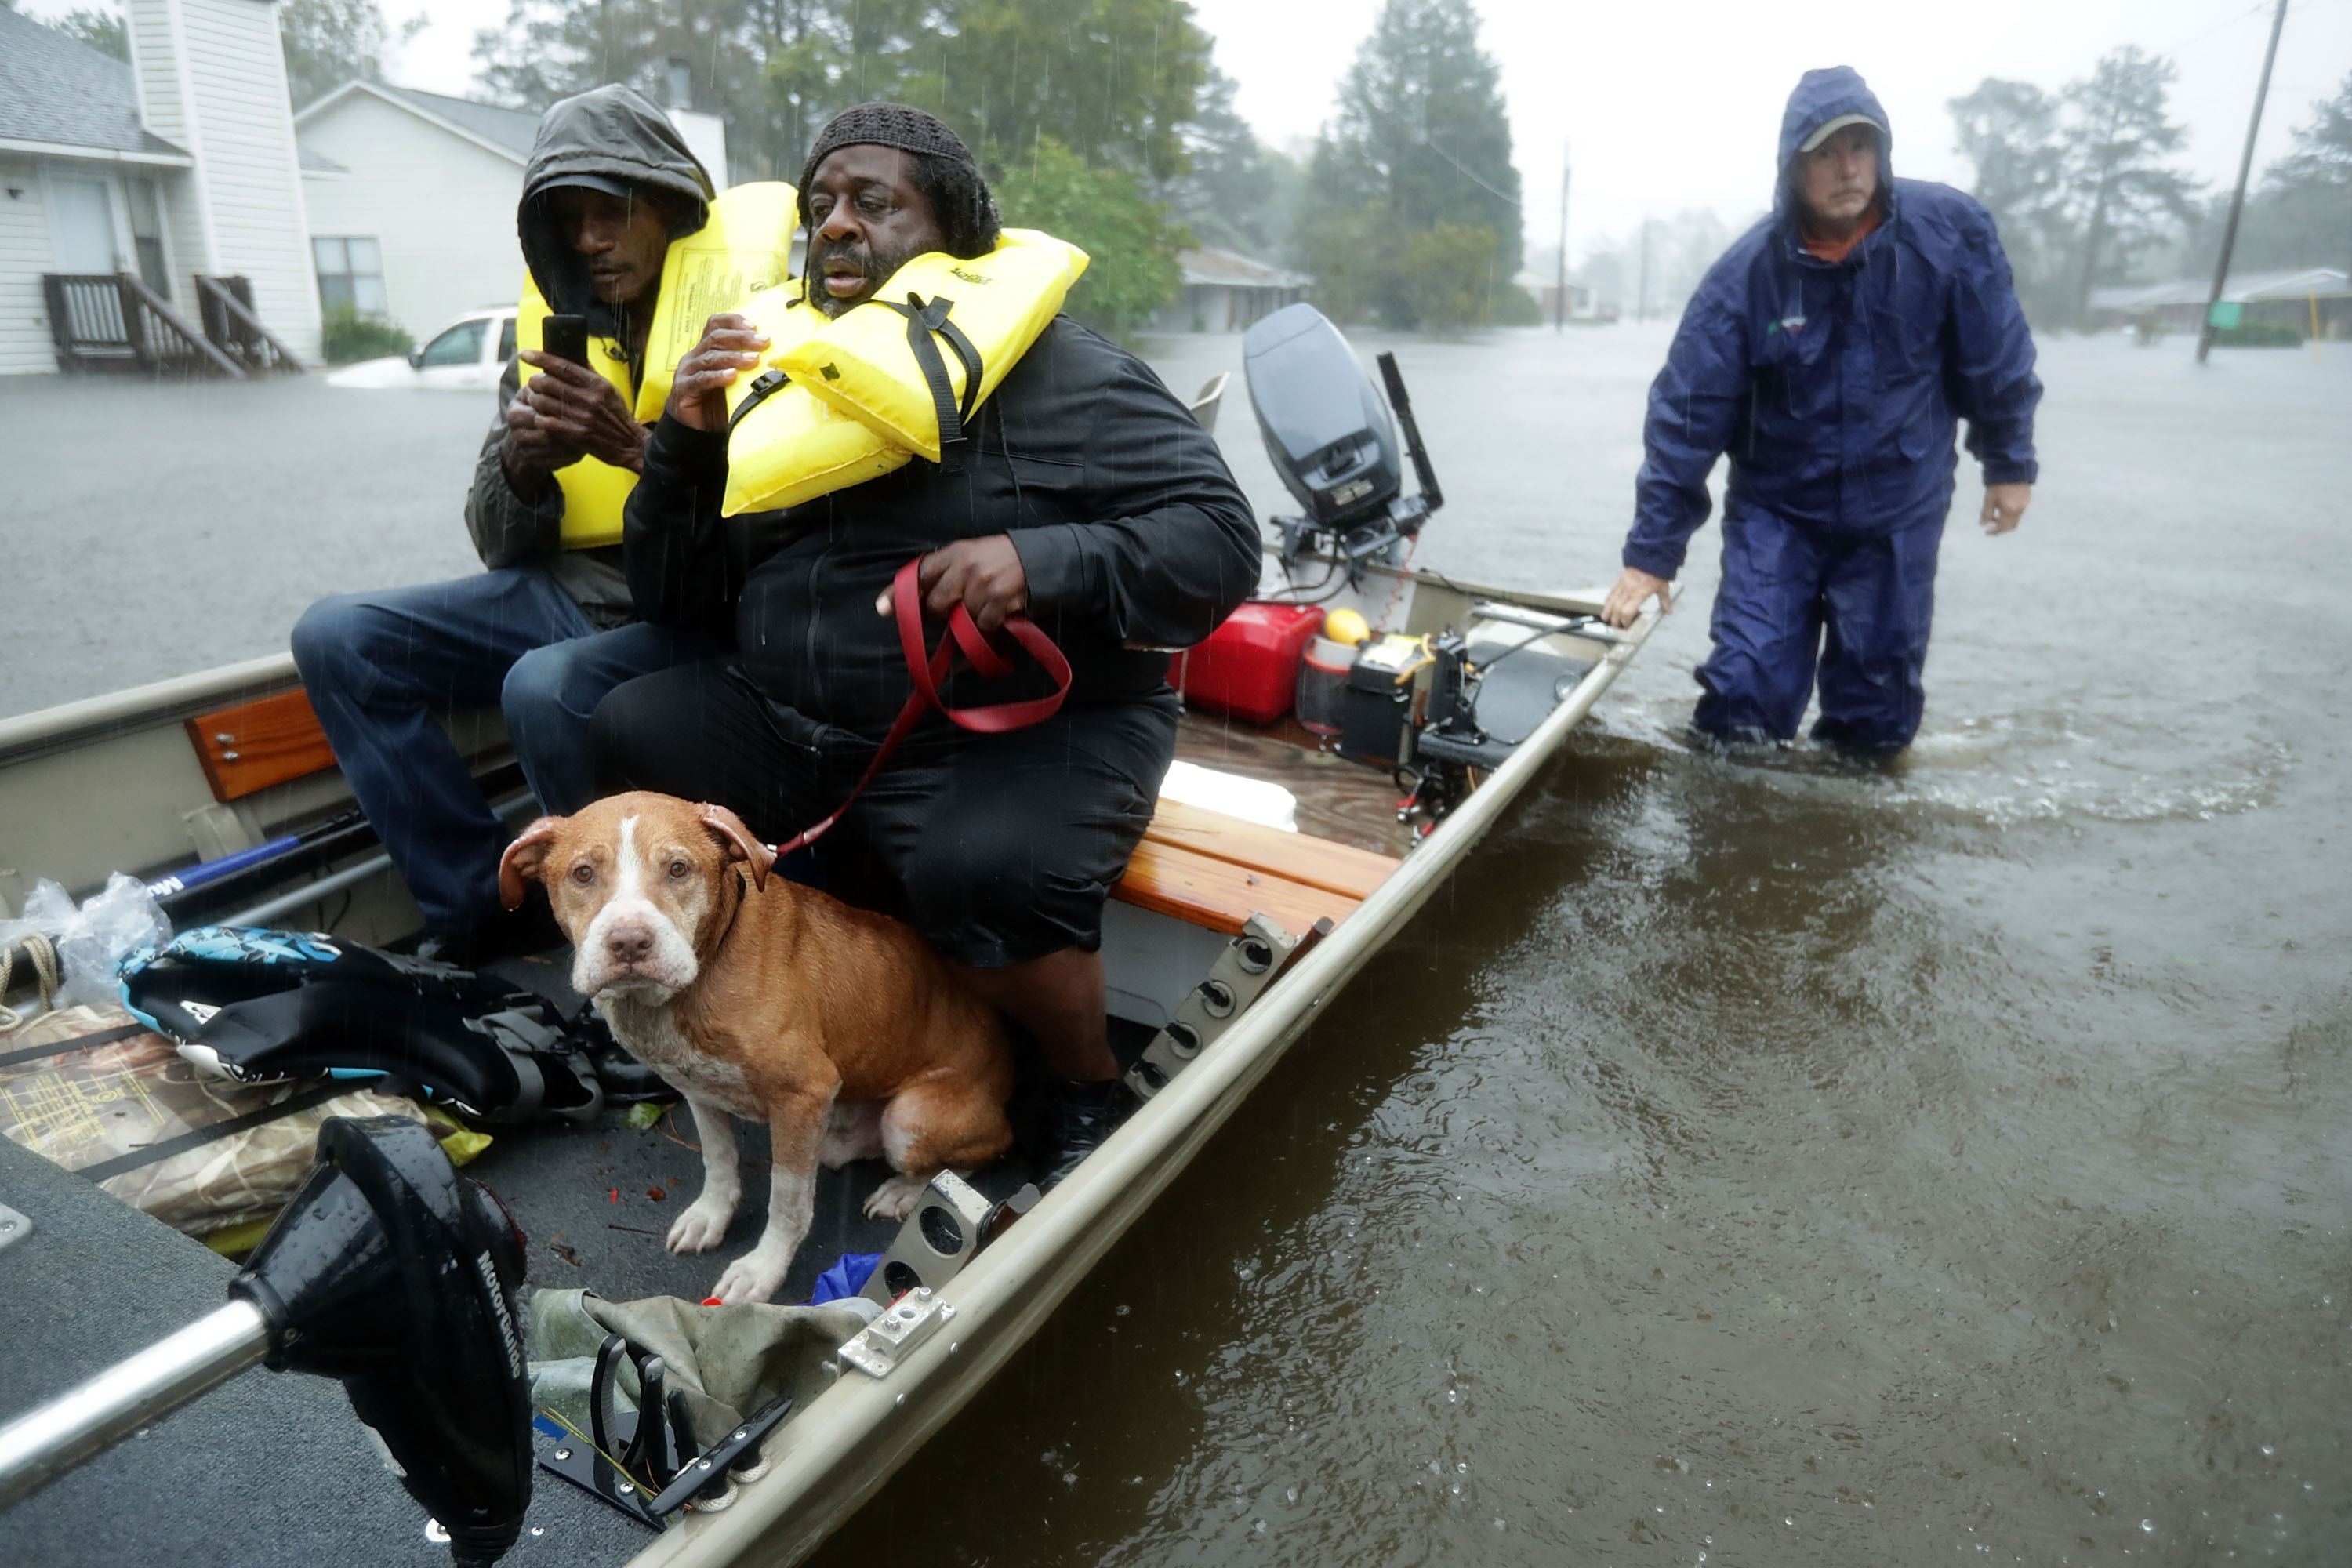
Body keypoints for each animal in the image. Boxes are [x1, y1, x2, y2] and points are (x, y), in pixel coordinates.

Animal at [496, 789, 1011, 1307]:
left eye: (678, 869)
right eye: (583, 874)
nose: (629, 942)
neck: (696, 980)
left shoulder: (803, 1092)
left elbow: (786, 1202)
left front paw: (763, 1269)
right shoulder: (698, 1090)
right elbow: (719, 1161)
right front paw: (710, 1217)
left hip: (909, 1119)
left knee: (970, 1159)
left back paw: (906, 1192)